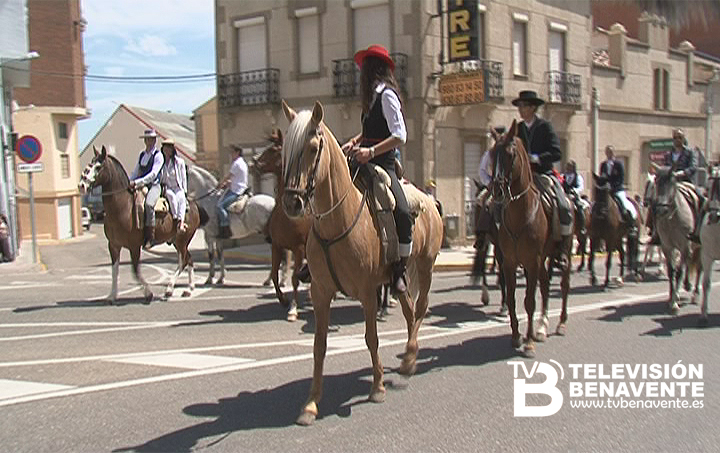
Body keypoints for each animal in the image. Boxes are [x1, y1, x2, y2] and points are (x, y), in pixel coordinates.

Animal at [78, 146, 207, 302]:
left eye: (98, 166)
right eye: (90, 163)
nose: (81, 185)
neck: (123, 207)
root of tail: (194, 205)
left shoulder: (134, 246)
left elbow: (135, 271)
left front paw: (148, 293)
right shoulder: (113, 246)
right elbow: (115, 270)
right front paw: (112, 296)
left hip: (182, 240)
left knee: (182, 261)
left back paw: (170, 289)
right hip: (177, 241)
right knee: (189, 259)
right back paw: (189, 289)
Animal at [251, 128, 312, 322]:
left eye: (273, 150)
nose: (253, 162)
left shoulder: (299, 248)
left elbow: (294, 278)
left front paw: (293, 309)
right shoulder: (277, 246)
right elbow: (274, 275)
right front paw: (283, 299)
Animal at [280, 101, 443, 426]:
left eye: (313, 148)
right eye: (286, 150)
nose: (292, 203)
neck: (337, 221)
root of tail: (429, 202)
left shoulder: (368, 293)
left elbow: (371, 338)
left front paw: (377, 387)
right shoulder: (320, 293)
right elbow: (319, 346)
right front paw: (311, 403)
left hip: (426, 265)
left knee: (420, 309)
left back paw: (410, 355)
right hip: (400, 278)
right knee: (409, 311)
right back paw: (408, 358)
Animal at [491, 120, 571, 358]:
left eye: (510, 155)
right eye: (492, 154)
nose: (497, 191)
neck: (520, 213)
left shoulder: (532, 261)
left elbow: (529, 301)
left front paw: (527, 343)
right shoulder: (510, 262)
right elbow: (511, 298)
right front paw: (516, 336)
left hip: (563, 253)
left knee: (563, 285)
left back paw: (560, 323)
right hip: (543, 259)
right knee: (545, 285)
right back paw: (542, 327)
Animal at [649, 163, 703, 313]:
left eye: (672, 183)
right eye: (657, 181)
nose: (661, 210)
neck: (671, 219)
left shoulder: (684, 246)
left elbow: (679, 272)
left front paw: (674, 302)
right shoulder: (667, 247)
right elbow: (671, 271)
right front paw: (671, 297)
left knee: (699, 268)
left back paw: (695, 294)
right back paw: (687, 286)